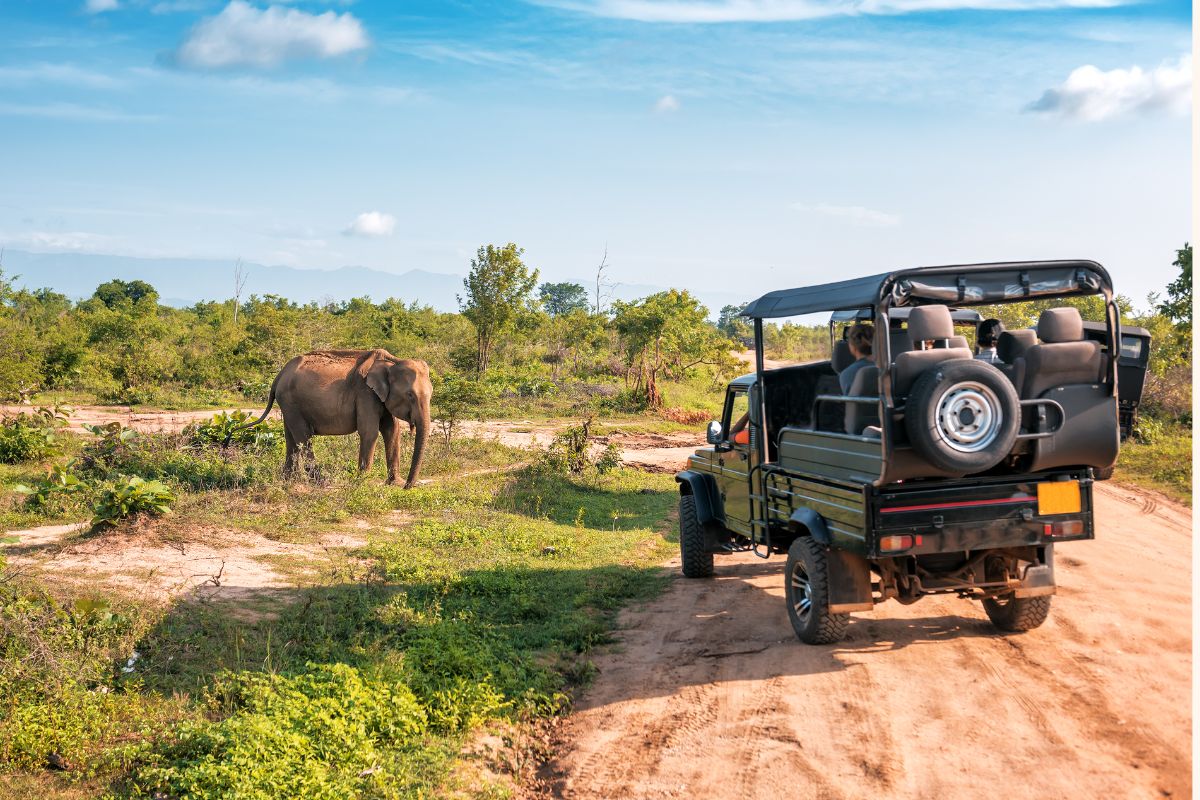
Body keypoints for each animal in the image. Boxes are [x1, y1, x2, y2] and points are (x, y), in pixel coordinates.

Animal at [234, 347, 432, 489]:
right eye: (410, 395)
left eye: (431, 395)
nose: (408, 487)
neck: (392, 361)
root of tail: (279, 375)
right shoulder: (365, 393)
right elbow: (370, 432)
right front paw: (362, 483)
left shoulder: (380, 397)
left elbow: (392, 430)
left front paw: (394, 483)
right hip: (291, 401)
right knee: (303, 436)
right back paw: (320, 481)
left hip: (288, 404)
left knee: (291, 437)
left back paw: (289, 480)